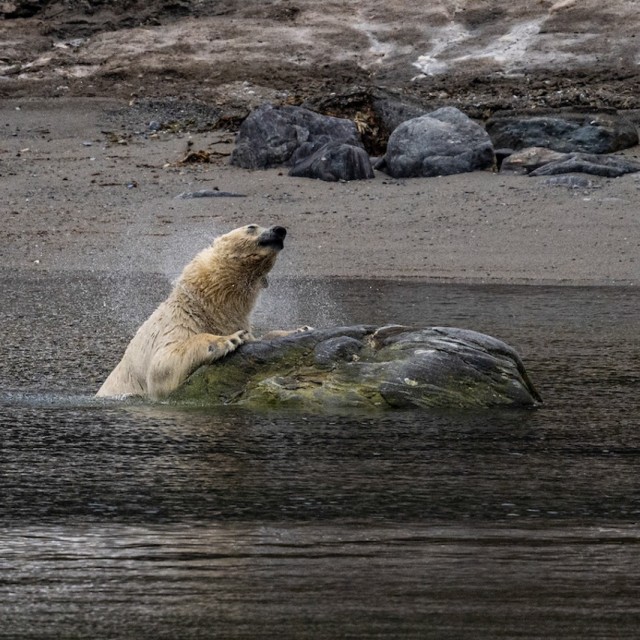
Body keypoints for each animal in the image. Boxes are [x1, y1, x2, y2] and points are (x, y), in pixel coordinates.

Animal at [97, 223, 291, 400]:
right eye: (251, 227)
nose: (279, 230)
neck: (202, 306)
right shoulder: (175, 323)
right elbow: (161, 365)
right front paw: (230, 339)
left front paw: (294, 331)